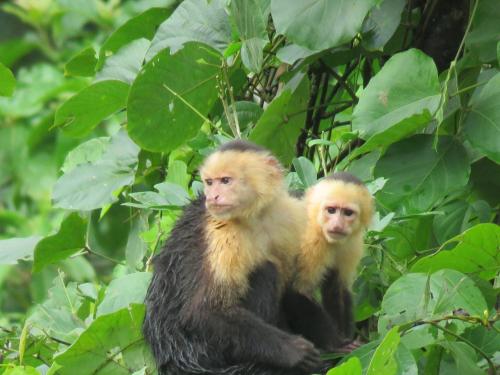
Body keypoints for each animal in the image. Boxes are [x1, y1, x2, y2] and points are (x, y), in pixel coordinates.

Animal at [142, 141, 320, 375]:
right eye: (209, 182)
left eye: (226, 181)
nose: (213, 196)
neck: (256, 217)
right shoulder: (222, 232)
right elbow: (203, 312)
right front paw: (293, 352)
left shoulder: (292, 215)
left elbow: (299, 288)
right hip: (209, 351)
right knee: (266, 271)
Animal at [284, 173, 374, 352]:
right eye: (331, 210)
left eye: (348, 213)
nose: (337, 225)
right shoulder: (308, 238)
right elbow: (294, 290)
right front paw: (337, 344)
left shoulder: (351, 244)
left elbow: (336, 290)